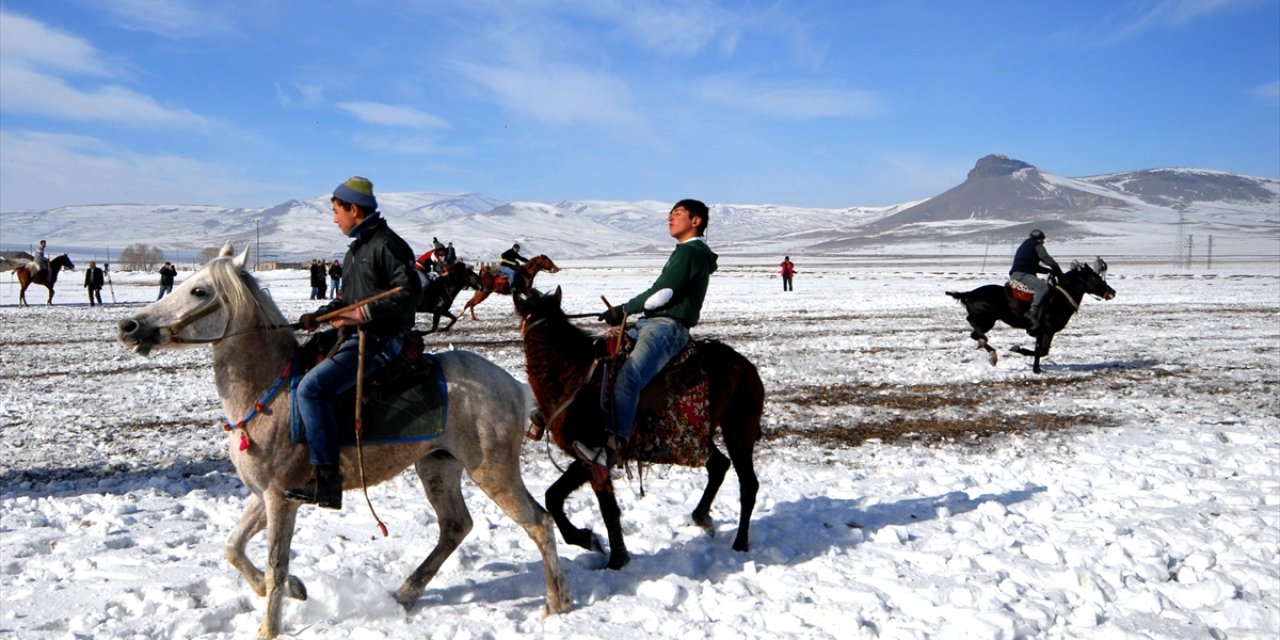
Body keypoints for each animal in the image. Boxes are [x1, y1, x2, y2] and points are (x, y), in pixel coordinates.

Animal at [514, 288, 762, 568]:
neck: (571, 378)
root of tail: (748, 367)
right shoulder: (587, 460)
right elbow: (554, 497)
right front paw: (588, 540)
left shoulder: (596, 456)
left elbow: (605, 509)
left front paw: (615, 560)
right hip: (700, 439)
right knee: (719, 465)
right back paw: (700, 517)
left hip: (739, 431)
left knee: (748, 485)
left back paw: (739, 544)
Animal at [947, 258, 1116, 373]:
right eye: (1094, 277)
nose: (1112, 292)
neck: (1059, 299)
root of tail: (969, 294)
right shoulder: (1047, 330)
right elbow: (1041, 351)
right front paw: (1018, 350)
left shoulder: (1043, 332)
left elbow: (1041, 351)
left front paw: (1037, 369)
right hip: (987, 319)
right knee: (972, 323)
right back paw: (989, 349)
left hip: (988, 322)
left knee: (974, 334)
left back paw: (986, 348)